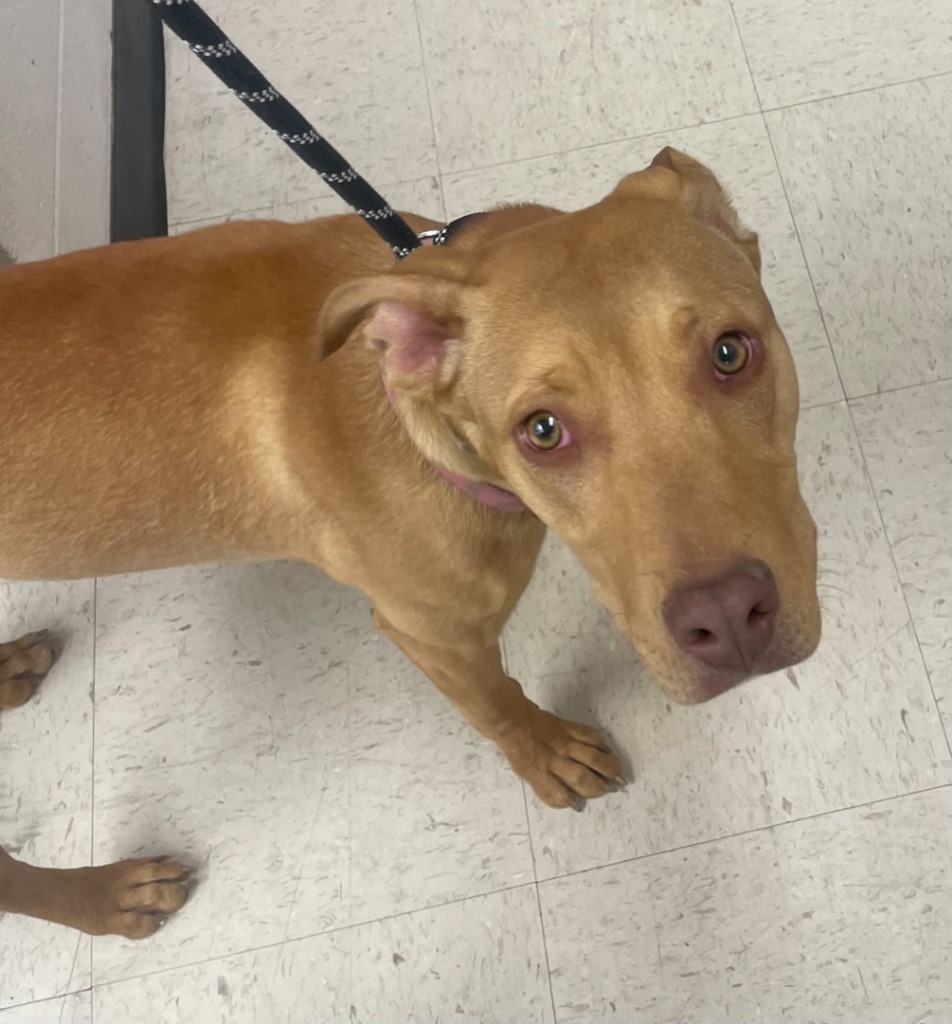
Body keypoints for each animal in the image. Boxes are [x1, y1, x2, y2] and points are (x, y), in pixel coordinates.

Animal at [0, 148, 814, 937]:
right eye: (543, 430)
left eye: (731, 353)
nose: (728, 620)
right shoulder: (431, 633)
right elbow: (495, 702)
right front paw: (547, 753)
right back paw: (110, 898)